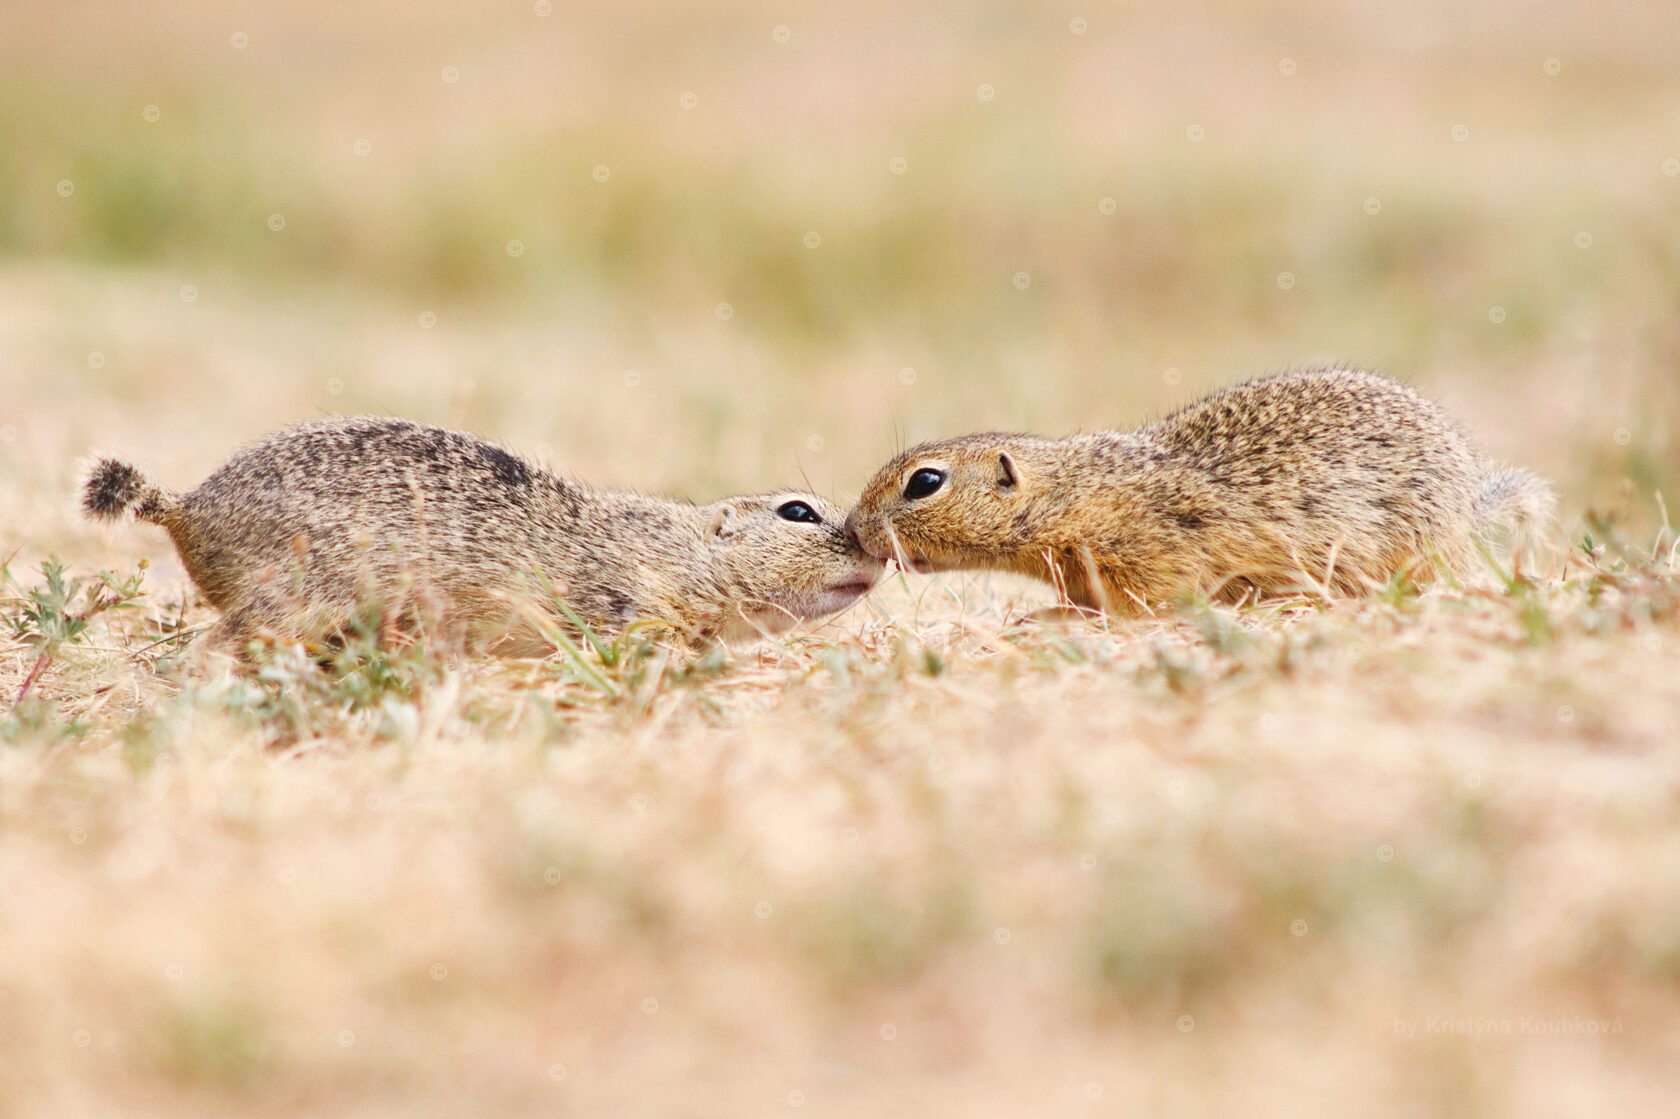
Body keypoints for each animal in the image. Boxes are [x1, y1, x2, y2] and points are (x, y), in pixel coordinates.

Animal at [83, 416, 882, 651]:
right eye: (798, 513)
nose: (876, 558)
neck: (679, 549)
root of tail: (186, 506)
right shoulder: (627, 604)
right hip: (294, 598)